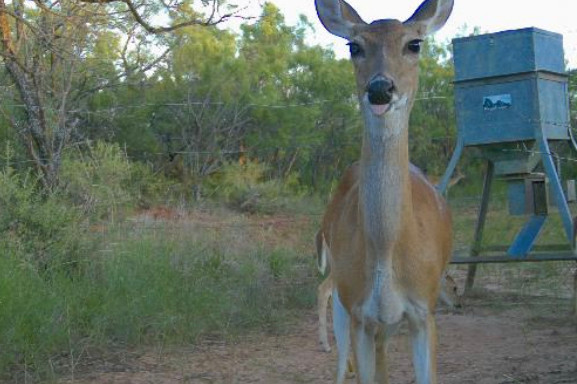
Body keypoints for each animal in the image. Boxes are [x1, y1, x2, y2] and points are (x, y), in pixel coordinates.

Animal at [316, 1, 454, 382]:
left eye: (414, 44)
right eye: (354, 46)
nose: (380, 88)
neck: (388, 248)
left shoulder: (423, 310)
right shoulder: (360, 311)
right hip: (342, 293)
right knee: (343, 355)